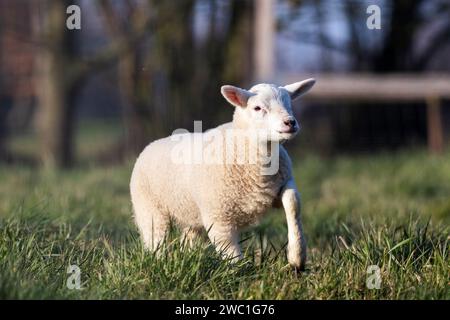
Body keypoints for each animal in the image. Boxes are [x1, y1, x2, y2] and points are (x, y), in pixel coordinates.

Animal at [128, 78, 314, 270]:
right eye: (257, 108)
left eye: (289, 103)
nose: (290, 122)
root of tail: (150, 145)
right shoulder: (218, 216)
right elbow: (230, 252)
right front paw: (242, 273)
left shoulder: (281, 183)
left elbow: (293, 202)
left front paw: (297, 257)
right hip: (150, 210)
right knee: (155, 240)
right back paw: (160, 264)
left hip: (190, 212)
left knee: (189, 239)